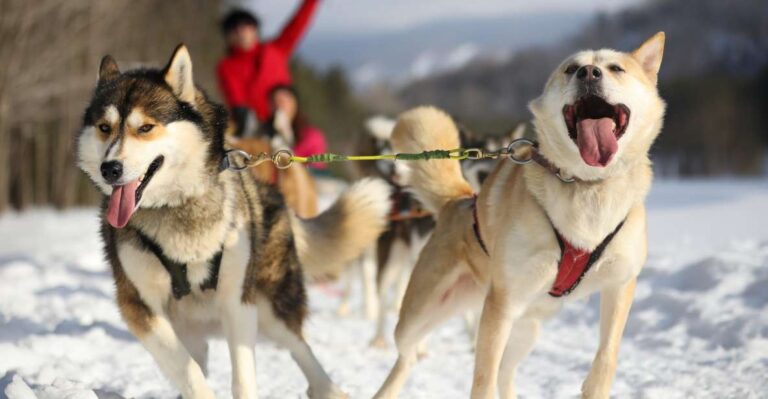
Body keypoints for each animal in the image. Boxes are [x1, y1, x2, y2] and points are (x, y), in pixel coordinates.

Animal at [76, 44, 390, 399]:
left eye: (145, 127)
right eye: (104, 127)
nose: (110, 169)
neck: (178, 209)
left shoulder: (238, 300)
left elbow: (243, 374)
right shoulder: (139, 306)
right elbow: (187, 370)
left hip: (271, 305)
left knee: (300, 347)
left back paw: (328, 388)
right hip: (190, 326)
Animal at [376, 32, 664, 399]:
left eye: (616, 68)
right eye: (571, 68)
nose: (588, 73)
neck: (586, 186)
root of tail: (461, 201)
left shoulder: (620, 283)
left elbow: (607, 355)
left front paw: (595, 385)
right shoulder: (501, 306)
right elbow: (483, 379)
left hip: (525, 330)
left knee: (505, 373)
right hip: (420, 314)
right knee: (408, 354)